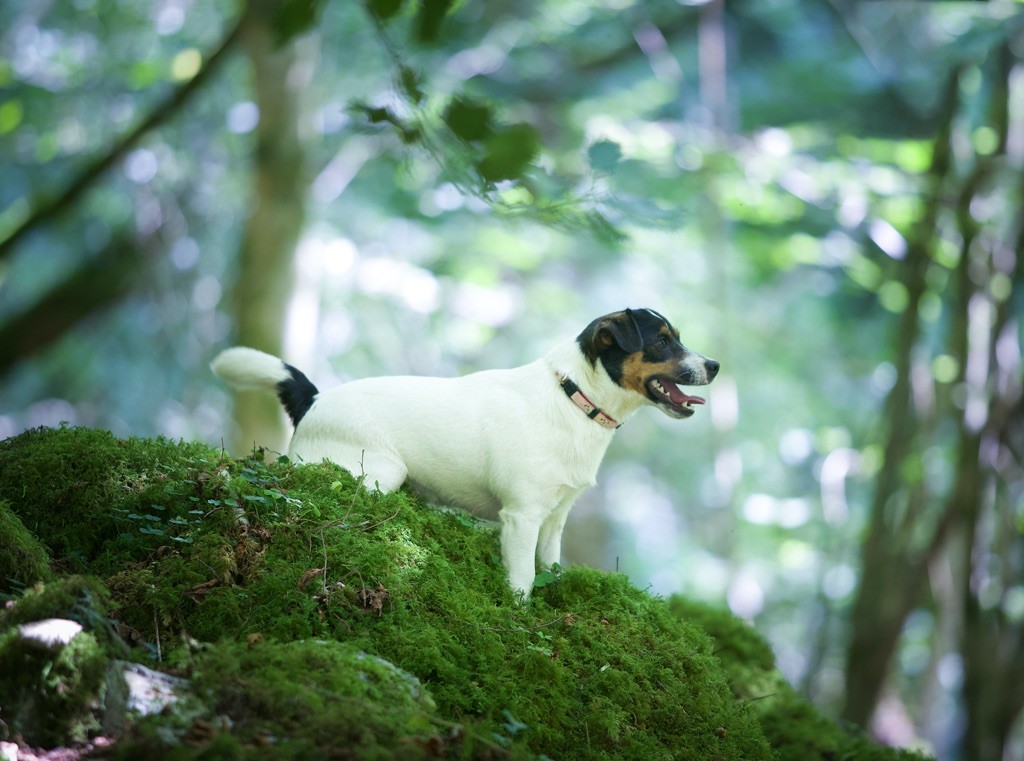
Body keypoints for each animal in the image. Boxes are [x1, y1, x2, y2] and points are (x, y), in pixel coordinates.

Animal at [208, 307, 720, 598]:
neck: (572, 397)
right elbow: (523, 582)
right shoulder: (521, 517)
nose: (714, 364)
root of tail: (314, 400)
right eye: (662, 340)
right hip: (379, 471)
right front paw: (522, 619)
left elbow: (550, 568)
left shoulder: (554, 520)